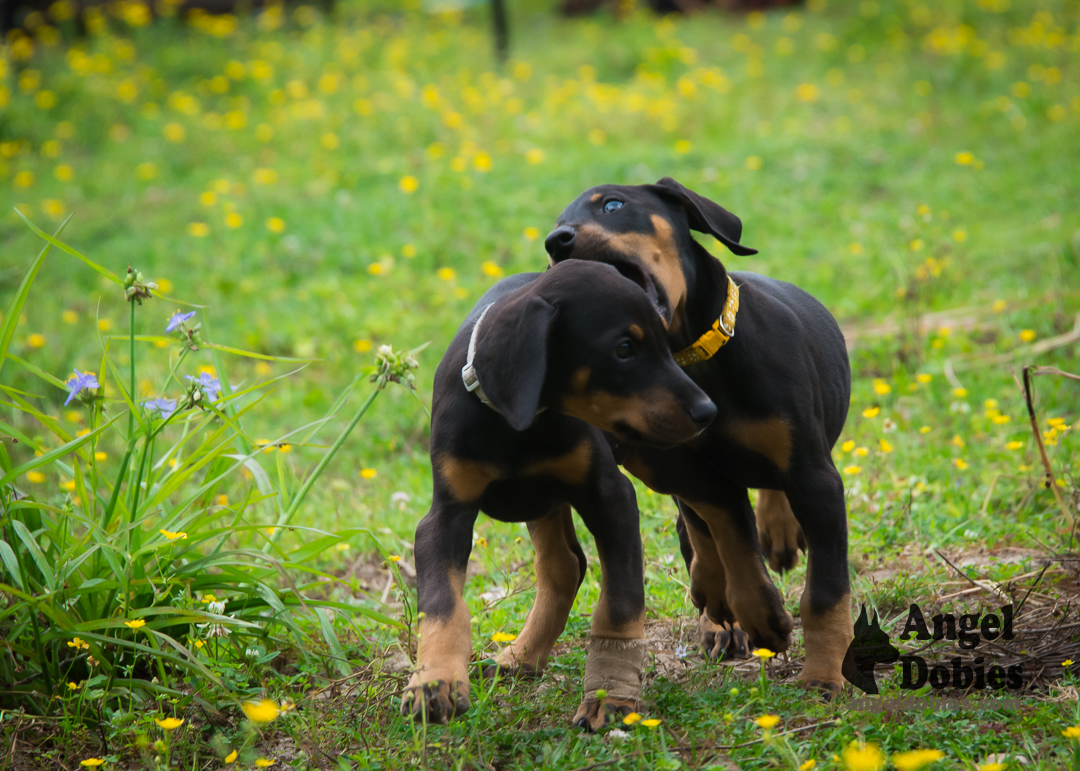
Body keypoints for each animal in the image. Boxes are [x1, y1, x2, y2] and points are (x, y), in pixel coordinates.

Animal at [406, 260, 717, 725]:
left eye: (664, 345)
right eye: (623, 349)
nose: (706, 412)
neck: (521, 420)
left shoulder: (611, 496)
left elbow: (620, 603)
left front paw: (611, 693)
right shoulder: (445, 516)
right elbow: (443, 604)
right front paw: (434, 680)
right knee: (564, 566)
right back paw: (522, 656)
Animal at [544, 178, 855, 695]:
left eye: (613, 205)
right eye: (555, 225)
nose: (556, 243)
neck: (693, 359)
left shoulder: (815, 478)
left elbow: (824, 593)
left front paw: (823, 676)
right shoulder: (683, 470)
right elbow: (725, 531)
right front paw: (757, 614)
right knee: (697, 531)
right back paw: (721, 617)